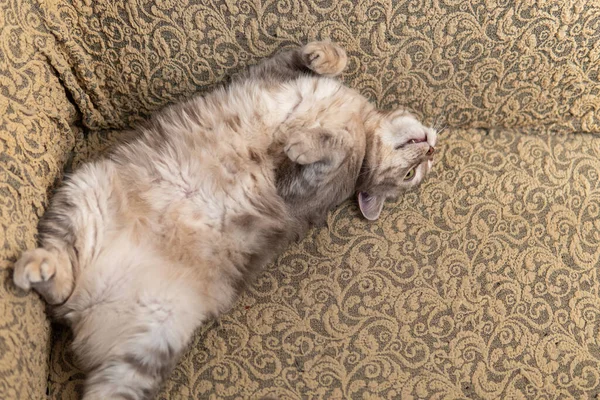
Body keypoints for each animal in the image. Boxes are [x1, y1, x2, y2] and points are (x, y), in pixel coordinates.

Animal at [11, 41, 436, 400]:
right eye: (413, 173)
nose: (431, 150)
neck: (357, 120)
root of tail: (88, 302)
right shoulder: (271, 71)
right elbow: (317, 58)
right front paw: (325, 56)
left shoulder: (297, 190)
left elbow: (334, 145)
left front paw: (306, 140)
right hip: (87, 188)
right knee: (61, 274)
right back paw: (41, 267)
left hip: (155, 334)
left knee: (65, 302)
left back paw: (39, 272)